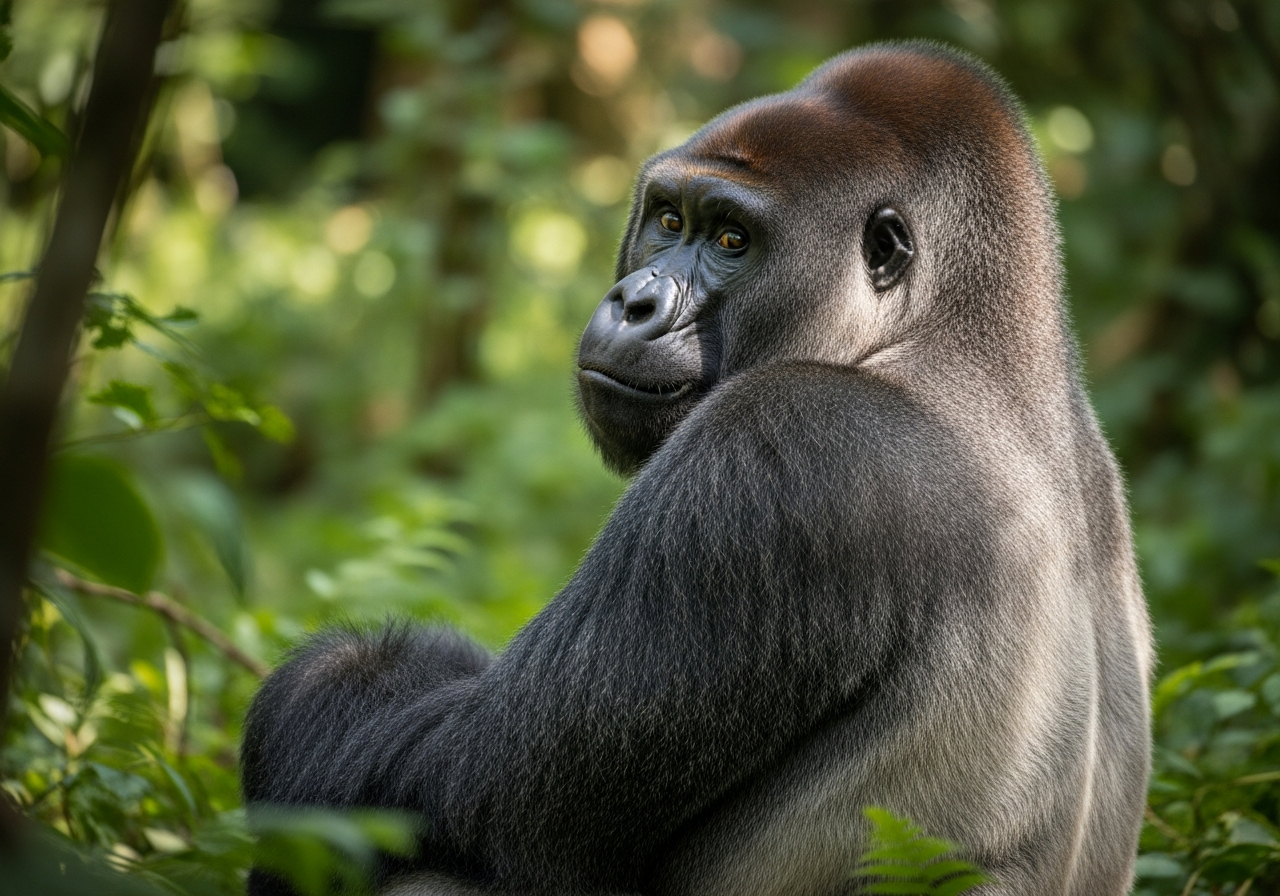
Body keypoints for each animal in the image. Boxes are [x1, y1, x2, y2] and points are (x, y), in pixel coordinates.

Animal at [240, 41, 1153, 896]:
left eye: (731, 240)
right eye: (669, 221)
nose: (634, 303)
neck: (951, 336)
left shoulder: (777, 446)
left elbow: (471, 785)